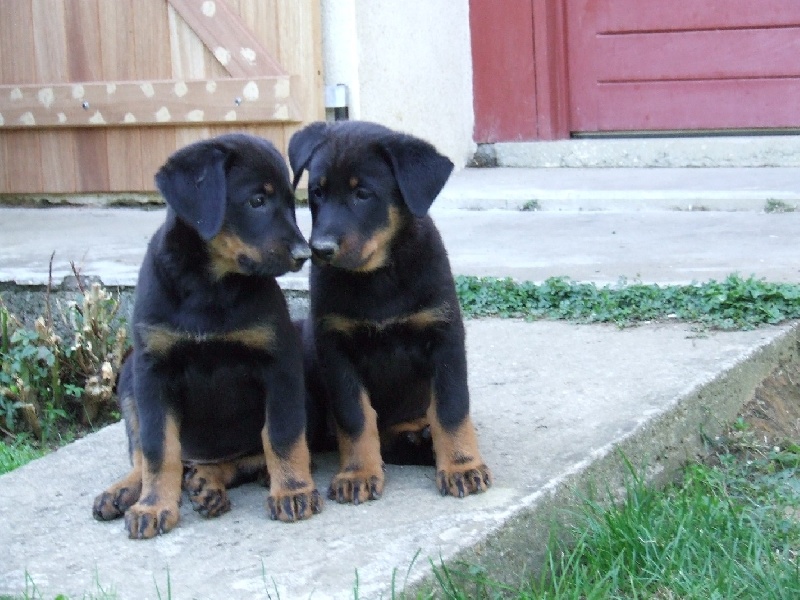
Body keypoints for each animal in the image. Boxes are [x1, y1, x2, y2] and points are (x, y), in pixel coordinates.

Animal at [93, 134, 318, 536]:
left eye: (292, 203)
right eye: (256, 201)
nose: (303, 254)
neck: (208, 286)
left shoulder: (279, 362)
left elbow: (281, 433)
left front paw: (293, 490)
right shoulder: (153, 371)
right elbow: (157, 448)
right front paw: (153, 506)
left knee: (243, 458)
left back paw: (209, 483)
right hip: (130, 375)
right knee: (148, 455)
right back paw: (126, 490)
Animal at [290, 120, 490, 502]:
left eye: (363, 194)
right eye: (317, 192)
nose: (319, 250)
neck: (378, 277)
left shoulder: (444, 334)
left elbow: (451, 407)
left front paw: (461, 465)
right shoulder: (335, 347)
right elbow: (355, 416)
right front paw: (357, 473)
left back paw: (421, 438)